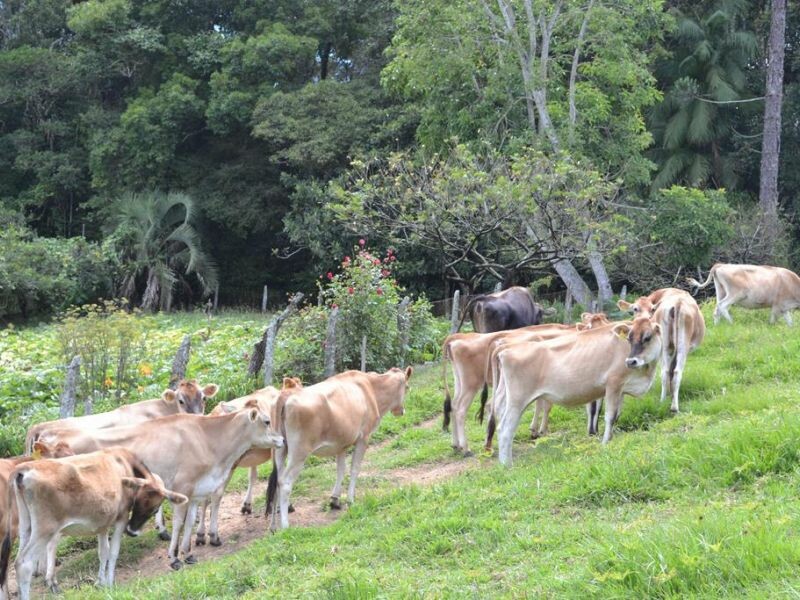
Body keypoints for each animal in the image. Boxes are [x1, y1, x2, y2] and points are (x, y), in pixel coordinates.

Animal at [0, 448, 184, 596]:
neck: (125, 463)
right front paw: (110, 583)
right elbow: (113, 552)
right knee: (24, 564)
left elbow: (103, 552)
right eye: (155, 509)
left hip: (26, 528)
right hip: (45, 530)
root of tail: (24, 468)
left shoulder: (102, 525)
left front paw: (100, 582)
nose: (132, 531)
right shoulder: (121, 518)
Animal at [34, 408, 284, 568]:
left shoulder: (196, 492)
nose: (281, 439)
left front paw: (188, 553)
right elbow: (179, 524)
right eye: (266, 421)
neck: (208, 441)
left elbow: (190, 522)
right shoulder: (183, 487)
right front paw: (174, 558)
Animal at [268, 366, 412, 528]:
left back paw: (273, 526)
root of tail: (285, 395)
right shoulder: (364, 437)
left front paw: (335, 500)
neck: (371, 388)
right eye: (407, 387)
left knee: (276, 481)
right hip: (299, 453)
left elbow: (340, 470)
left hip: (280, 450)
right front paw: (350, 499)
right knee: (285, 482)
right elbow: (354, 468)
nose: (402, 411)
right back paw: (285, 526)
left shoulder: (341, 444)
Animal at [488, 316, 664, 466]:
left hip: (504, 397)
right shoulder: (613, 383)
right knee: (505, 429)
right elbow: (609, 416)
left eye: (647, 337)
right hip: (517, 400)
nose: (630, 361)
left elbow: (616, 416)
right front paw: (605, 443)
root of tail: (506, 348)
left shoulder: (621, 389)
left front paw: (611, 439)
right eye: (629, 338)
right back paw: (507, 465)